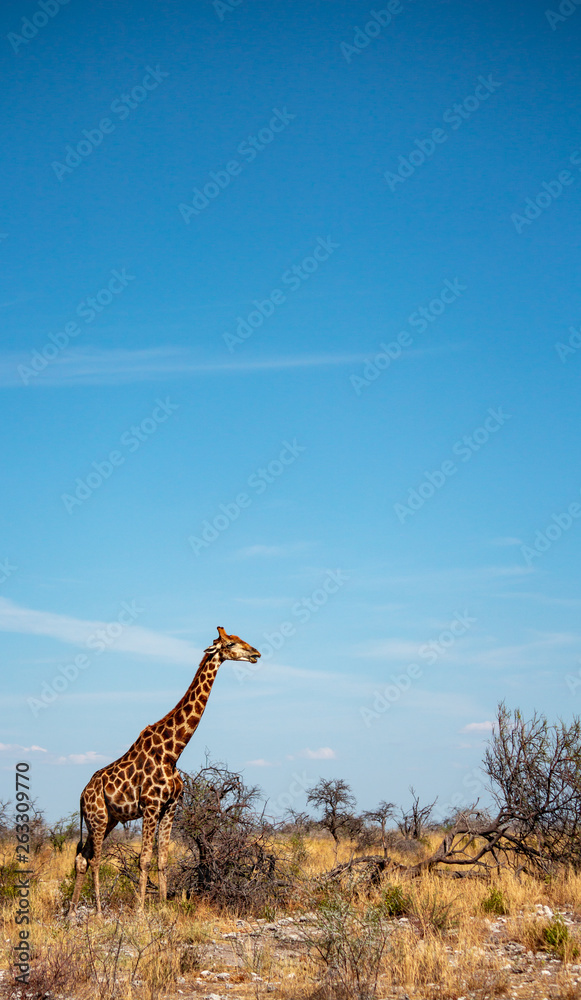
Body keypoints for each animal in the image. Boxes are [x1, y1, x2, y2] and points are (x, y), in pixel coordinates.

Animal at [69, 626, 260, 915]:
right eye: (230, 643)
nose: (256, 653)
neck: (173, 752)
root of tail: (81, 795)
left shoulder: (170, 807)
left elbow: (162, 858)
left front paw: (162, 906)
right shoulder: (150, 806)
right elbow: (144, 859)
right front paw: (140, 910)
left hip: (107, 819)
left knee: (82, 857)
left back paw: (70, 912)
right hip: (98, 818)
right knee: (94, 860)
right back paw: (99, 911)